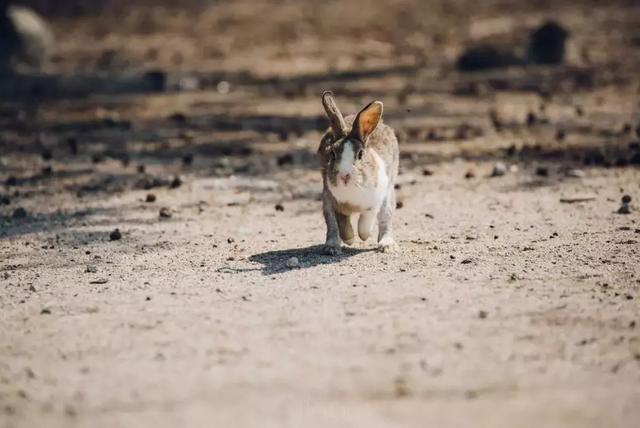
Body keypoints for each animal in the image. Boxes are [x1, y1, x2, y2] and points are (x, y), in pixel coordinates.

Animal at [318, 92, 398, 254]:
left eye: (360, 154)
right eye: (332, 153)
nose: (344, 176)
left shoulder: (374, 202)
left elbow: (365, 221)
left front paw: (364, 236)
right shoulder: (332, 200)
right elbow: (340, 224)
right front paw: (349, 239)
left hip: (388, 196)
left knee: (385, 220)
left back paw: (387, 246)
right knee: (332, 226)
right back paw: (331, 248)